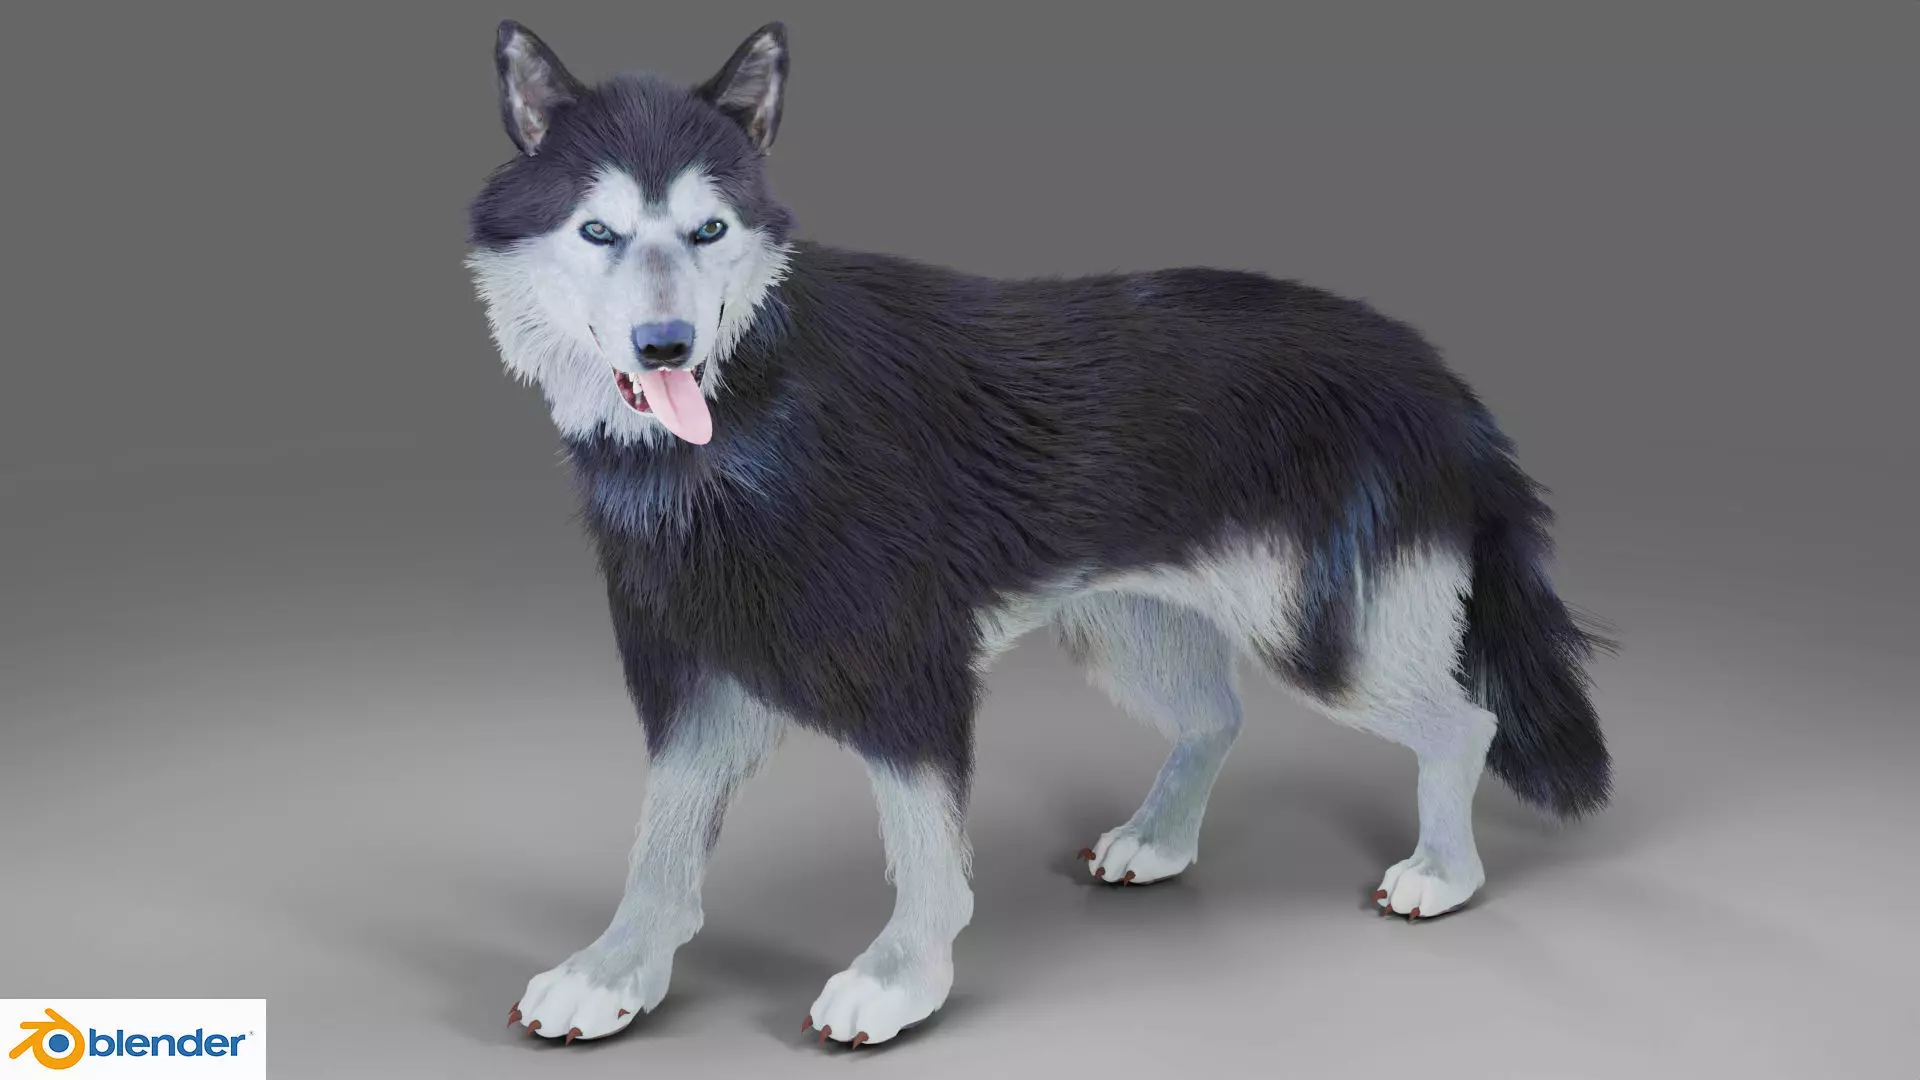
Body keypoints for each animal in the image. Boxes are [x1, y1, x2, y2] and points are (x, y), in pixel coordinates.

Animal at [466, 19, 1613, 1049]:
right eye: (599, 233)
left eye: (708, 232)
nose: (667, 345)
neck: (757, 388)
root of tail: (1438, 378)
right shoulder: (693, 683)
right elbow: (660, 846)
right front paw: (615, 971)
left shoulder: (910, 683)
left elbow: (926, 851)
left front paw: (901, 979)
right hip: (1125, 628)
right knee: (1218, 718)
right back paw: (1160, 838)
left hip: (1324, 639)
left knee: (1463, 724)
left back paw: (1443, 875)